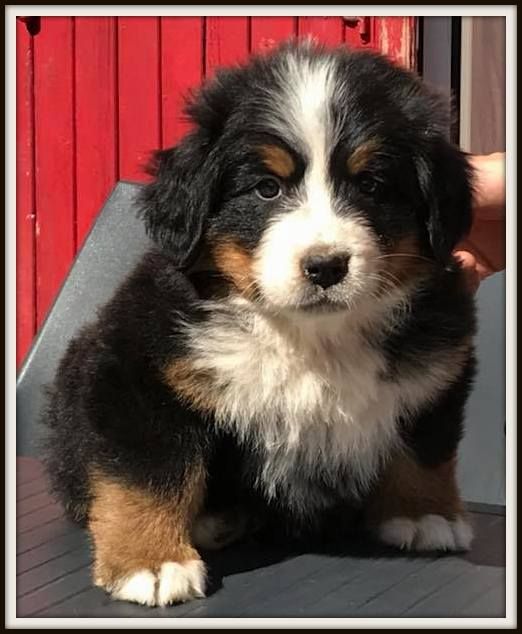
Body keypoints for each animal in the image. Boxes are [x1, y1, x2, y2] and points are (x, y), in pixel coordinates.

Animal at [42, 40, 476, 607]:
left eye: (371, 185)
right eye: (267, 188)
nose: (326, 266)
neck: (310, 337)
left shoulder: (438, 365)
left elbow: (426, 446)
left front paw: (425, 513)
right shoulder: (137, 369)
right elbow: (147, 473)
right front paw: (151, 561)